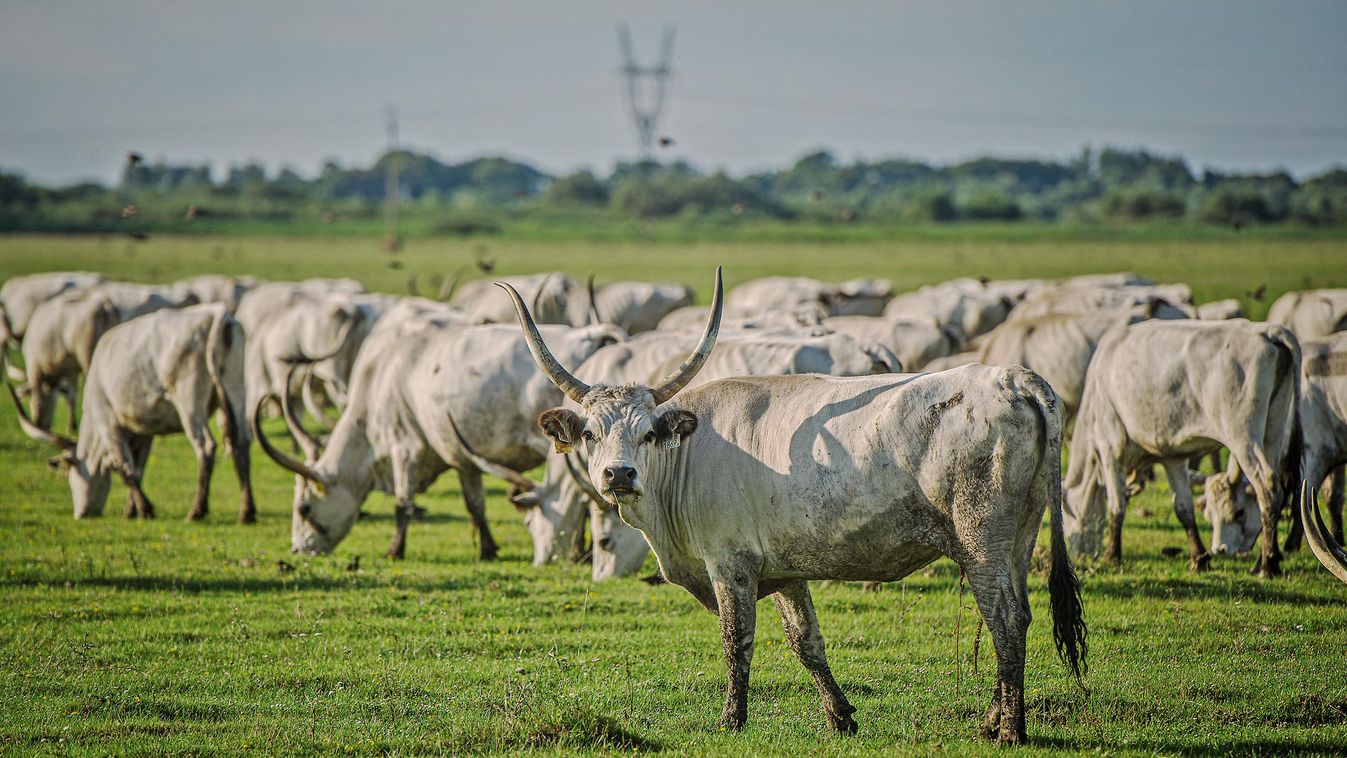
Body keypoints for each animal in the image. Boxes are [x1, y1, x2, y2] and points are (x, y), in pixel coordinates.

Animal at [6, 302, 253, 522]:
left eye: (71, 475)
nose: (81, 514)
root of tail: (216, 314)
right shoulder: (144, 430)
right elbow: (138, 467)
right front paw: (131, 510)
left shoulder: (107, 421)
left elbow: (123, 466)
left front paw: (145, 510)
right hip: (235, 391)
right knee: (242, 442)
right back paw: (246, 512)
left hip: (189, 400)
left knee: (205, 446)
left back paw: (197, 511)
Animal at [254, 317, 622, 560]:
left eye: (304, 508)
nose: (299, 549)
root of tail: (594, 335)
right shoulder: (462, 458)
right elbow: (475, 503)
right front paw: (488, 549)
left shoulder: (404, 447)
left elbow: (403, 502)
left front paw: (394, 550)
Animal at [501, 266, 1088, 743]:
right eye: (591, 433)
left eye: (647, 433)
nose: (619, 474)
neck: (688, 453)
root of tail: (1014, 377)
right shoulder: (784, 570)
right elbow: (806, 642)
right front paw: (840, 717)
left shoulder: (731, 563)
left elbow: (737, 641)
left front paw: (731, 721)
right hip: (1020, 535)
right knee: (1021, 615)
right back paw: (993, 719)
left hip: (980, 538)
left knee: (1004, 619)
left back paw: (1009, 730)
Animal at [1061, 319, 1303, 576]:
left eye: (1066, 514)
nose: (1078, 553)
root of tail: (1267, 331)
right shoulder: (1172, 458)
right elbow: (1183, 508)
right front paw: (1199, 557)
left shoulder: (1111, 448)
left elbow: (1116, 505)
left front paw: (1112, 555)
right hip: (1273, 431)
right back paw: (1266, 559)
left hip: (1242, 436)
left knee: (1267, 488)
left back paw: (1267, 564)